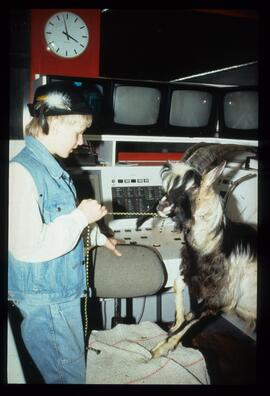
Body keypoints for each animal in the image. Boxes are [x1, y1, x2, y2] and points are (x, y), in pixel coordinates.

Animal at [139, 143, 258, 358]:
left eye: (193, 186)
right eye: (170, 184)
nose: (162, 205)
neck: (213, 244)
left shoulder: (221, 298)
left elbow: (193, 316)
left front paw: (160, 349)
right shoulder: (191, 274)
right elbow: (177, 285)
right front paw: (174, 327)